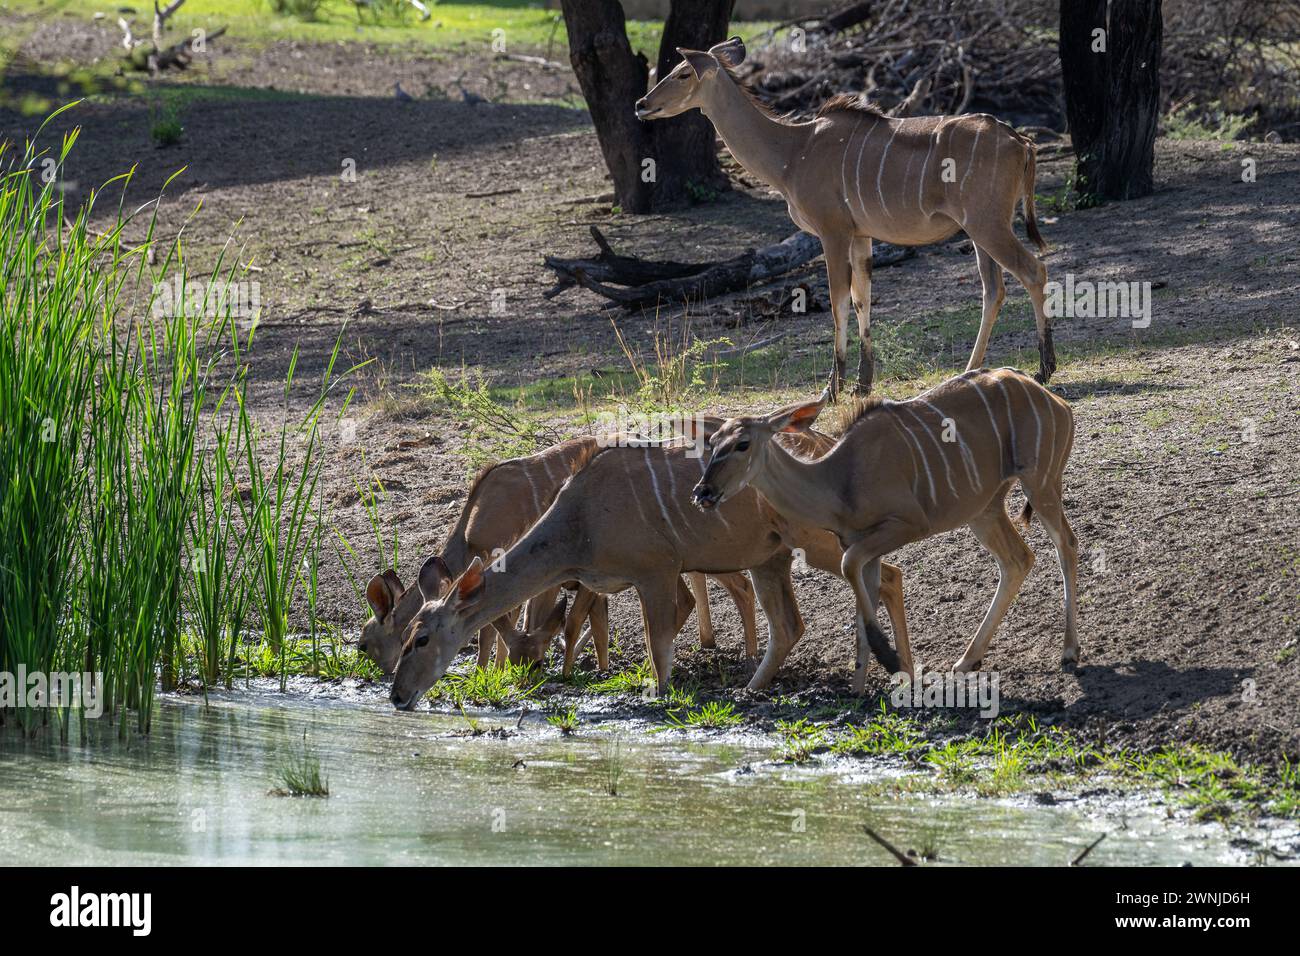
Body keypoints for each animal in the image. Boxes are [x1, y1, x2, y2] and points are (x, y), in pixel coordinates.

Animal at [639, 37, 1055, 395]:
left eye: (682, 73)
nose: (642, 104)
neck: (792, 152)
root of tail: (1021, 140)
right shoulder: (860, 235)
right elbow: (861, 300)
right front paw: (861, 384)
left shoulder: (832, 232)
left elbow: (838, 302)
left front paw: (833, 388)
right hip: (979, 231)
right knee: (994, 289)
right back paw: (969, 371)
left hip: (988, 224)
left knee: (1033, 270)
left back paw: (1043, 369)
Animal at [696, 369, 1081, 697]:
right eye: (713, 442)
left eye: (742, 443)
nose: (703, 492)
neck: (838, 480)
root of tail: (1057, 403)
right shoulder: (861, 543)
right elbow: (863, 595)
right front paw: (858, 690)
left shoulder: (904, 525)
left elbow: (852, 573)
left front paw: (891, 660)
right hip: (984, 510)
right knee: (1018, 560)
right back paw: (965, 660)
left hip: (1040, 483)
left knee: (1066, 544)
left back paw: (1069, 651)